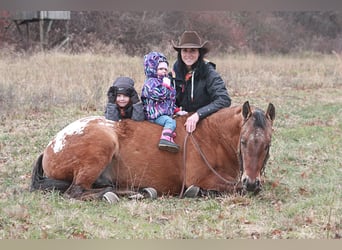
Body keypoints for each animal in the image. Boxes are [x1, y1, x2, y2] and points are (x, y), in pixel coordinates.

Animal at [29, 100, 276, 202]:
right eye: (243, 141)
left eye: (267, 144)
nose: (251, 182)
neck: (212, 136)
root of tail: (51, 146)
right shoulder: (201, 179)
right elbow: (233, 189)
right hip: (102, 147)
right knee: (75, 192)